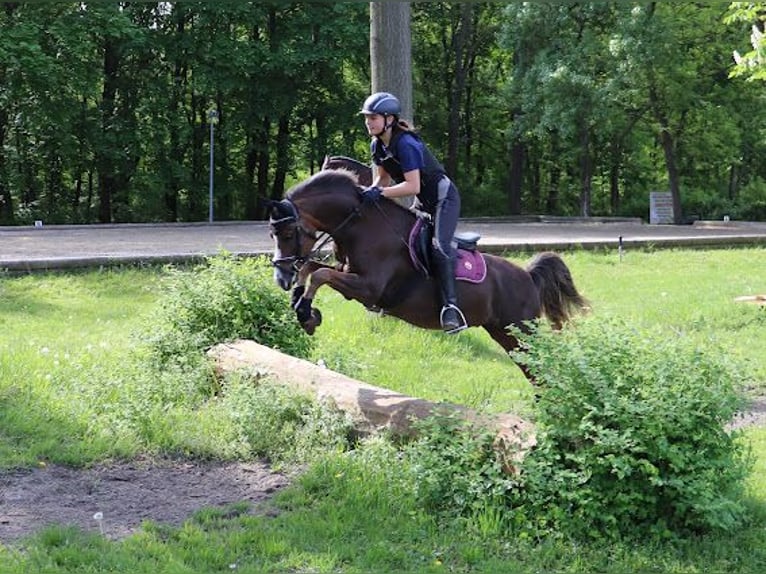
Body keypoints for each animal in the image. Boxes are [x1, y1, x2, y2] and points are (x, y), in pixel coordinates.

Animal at [268, 169, 592, 382]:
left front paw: (307, 313)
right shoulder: (348, 274)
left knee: (540, 367)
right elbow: (313, 269)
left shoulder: (369, 288)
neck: (361, 225)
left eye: (287, 233)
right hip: (503, 332)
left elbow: (320, 274)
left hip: (522, 331)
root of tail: (528, 276)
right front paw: (301, 305)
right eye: (273, 234)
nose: (281, 278)